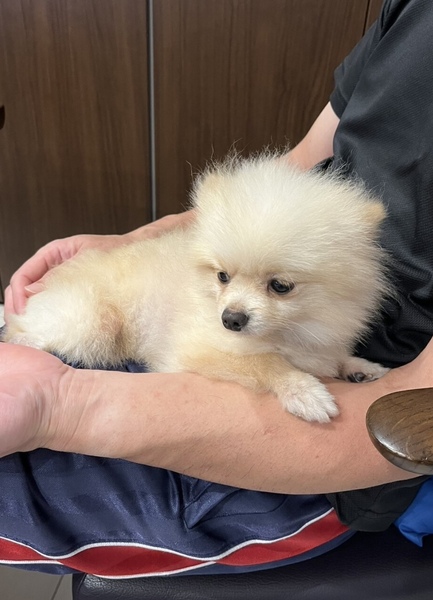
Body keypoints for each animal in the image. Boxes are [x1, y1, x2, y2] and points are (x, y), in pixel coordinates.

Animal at [3, 152, 390, 422]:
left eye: (280, 286)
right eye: (222, 276)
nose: (231, 319)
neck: (290, 332)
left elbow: (332, 358)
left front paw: (358, 366)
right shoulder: (195, 350)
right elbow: (264, 364)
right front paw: (304, 391)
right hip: (93, 323)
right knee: (26, 331)